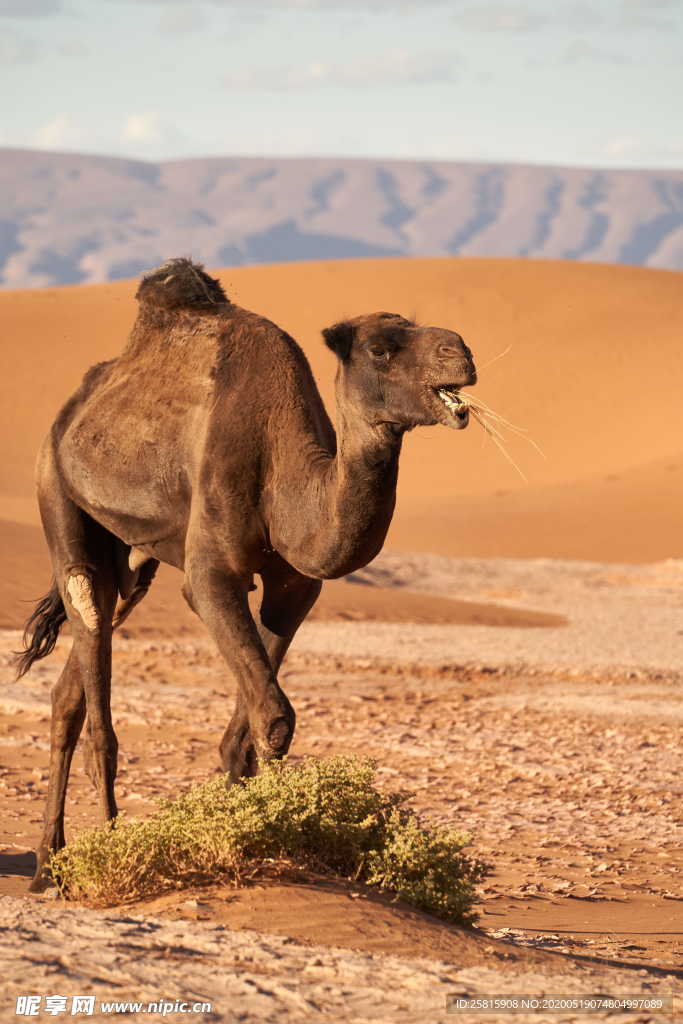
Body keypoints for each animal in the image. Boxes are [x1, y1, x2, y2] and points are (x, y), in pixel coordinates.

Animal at [15, 258, 475, 888]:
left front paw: (256, 834)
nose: (463, 352)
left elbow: (249, 731)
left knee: (76, 676)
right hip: (56, 491)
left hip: (134, 556)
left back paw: (50, 859)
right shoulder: (211, 574)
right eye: (381, 349)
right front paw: (268, 836)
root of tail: (74, 407)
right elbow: (275, 717)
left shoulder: (295, 587)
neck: (285, 475)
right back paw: (91, 854)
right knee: (92, 669)